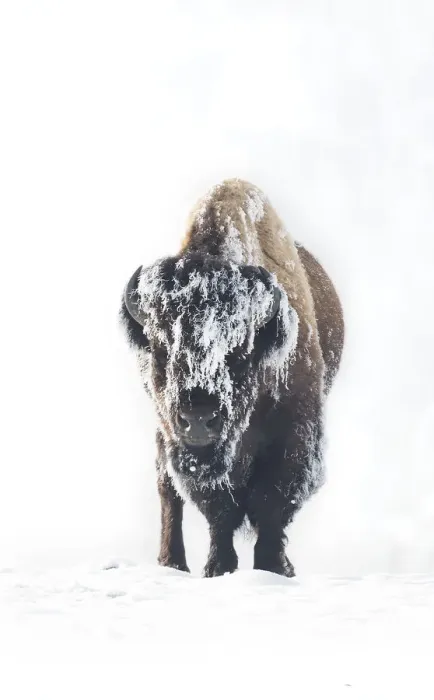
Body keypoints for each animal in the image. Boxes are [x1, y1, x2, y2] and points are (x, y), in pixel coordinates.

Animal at [120, 178, 344, 577]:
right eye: (160, 349)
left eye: (240, 353)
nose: (198, 419)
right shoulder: (184, 447)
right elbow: (220, 511)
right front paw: (219, 567)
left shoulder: (295, 438)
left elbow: (272, 505)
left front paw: (275, 568)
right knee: (167, 491)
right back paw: (172, 563)